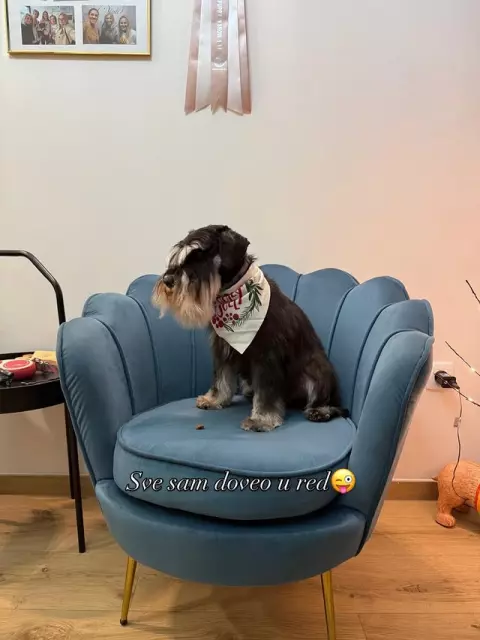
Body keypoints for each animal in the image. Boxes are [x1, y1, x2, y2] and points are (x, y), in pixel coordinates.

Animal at [152, 225, 348, 432]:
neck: (233, 292)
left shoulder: (266, 356)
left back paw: (320, 411)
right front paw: (214, 400)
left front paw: (262, 419)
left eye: (199, 255)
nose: (167, 280)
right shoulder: (223, 348)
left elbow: (266, 391)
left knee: (332, 403)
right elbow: (221, 377)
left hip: (317, 369)